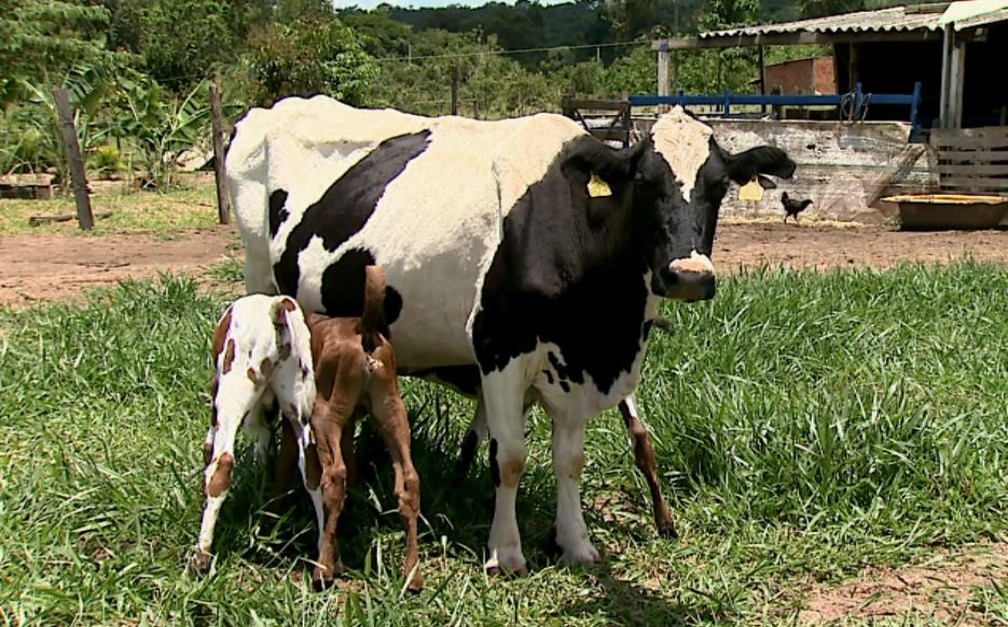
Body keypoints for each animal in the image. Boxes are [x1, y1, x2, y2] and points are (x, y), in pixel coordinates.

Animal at [226, 96, 796, 575]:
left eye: (718, 188)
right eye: (645, 184)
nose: (689, 275)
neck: (605, 329)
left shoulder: (576, 366)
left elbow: (570, 459)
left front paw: (575, 541)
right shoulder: (499, 350)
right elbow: (511, 456)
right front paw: (505, 551)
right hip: (260, 285)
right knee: (262, 406)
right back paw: (261, 476)